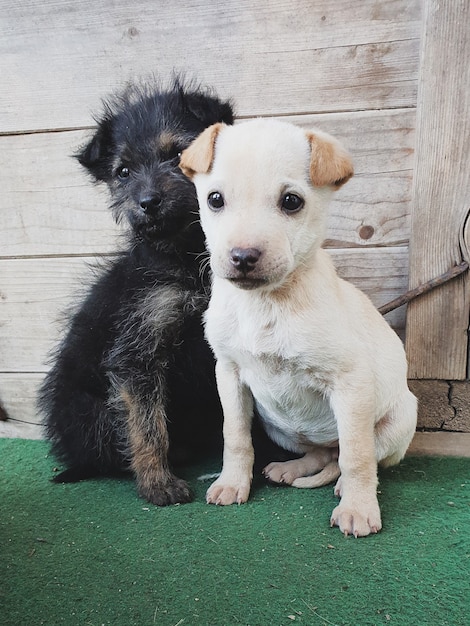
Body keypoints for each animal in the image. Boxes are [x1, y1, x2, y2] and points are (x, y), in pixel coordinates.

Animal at [39, 79, 234, 508]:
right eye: (123, 172)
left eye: (177, 155)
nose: (147, 203)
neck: (186, 257)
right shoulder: (138, 351)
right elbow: (147, 424)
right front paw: (157, 482)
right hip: (91, 410)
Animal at [179, 119, 414, 532]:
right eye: (215, 199)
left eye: (291, 201)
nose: (243, 257)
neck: (266, 303)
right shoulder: (228, 372)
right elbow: (234, 435)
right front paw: (232, 483)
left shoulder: (351, 381)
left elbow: (357, 455)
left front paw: (358, 509)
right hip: (279, 426)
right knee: (322, 454)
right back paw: (290, 469)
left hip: (401, 419)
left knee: (354, 455)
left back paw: (345, 489)